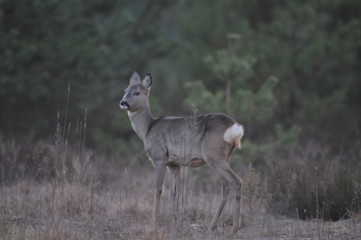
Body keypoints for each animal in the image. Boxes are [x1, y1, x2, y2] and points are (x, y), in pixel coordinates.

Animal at [119, 72, 243, 233]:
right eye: (125, 90)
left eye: (137, 92)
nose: (123, 102)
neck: (147, 129)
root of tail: (235, 127)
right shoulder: (174, 164)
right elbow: (174, 192)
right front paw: (175, 221)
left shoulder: (159, 158)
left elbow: (158, 189)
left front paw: (154, 222)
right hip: (225, 157)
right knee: (225, 187)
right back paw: (213, 226)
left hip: (214, 155)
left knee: (236, 181)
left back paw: (234, 228)